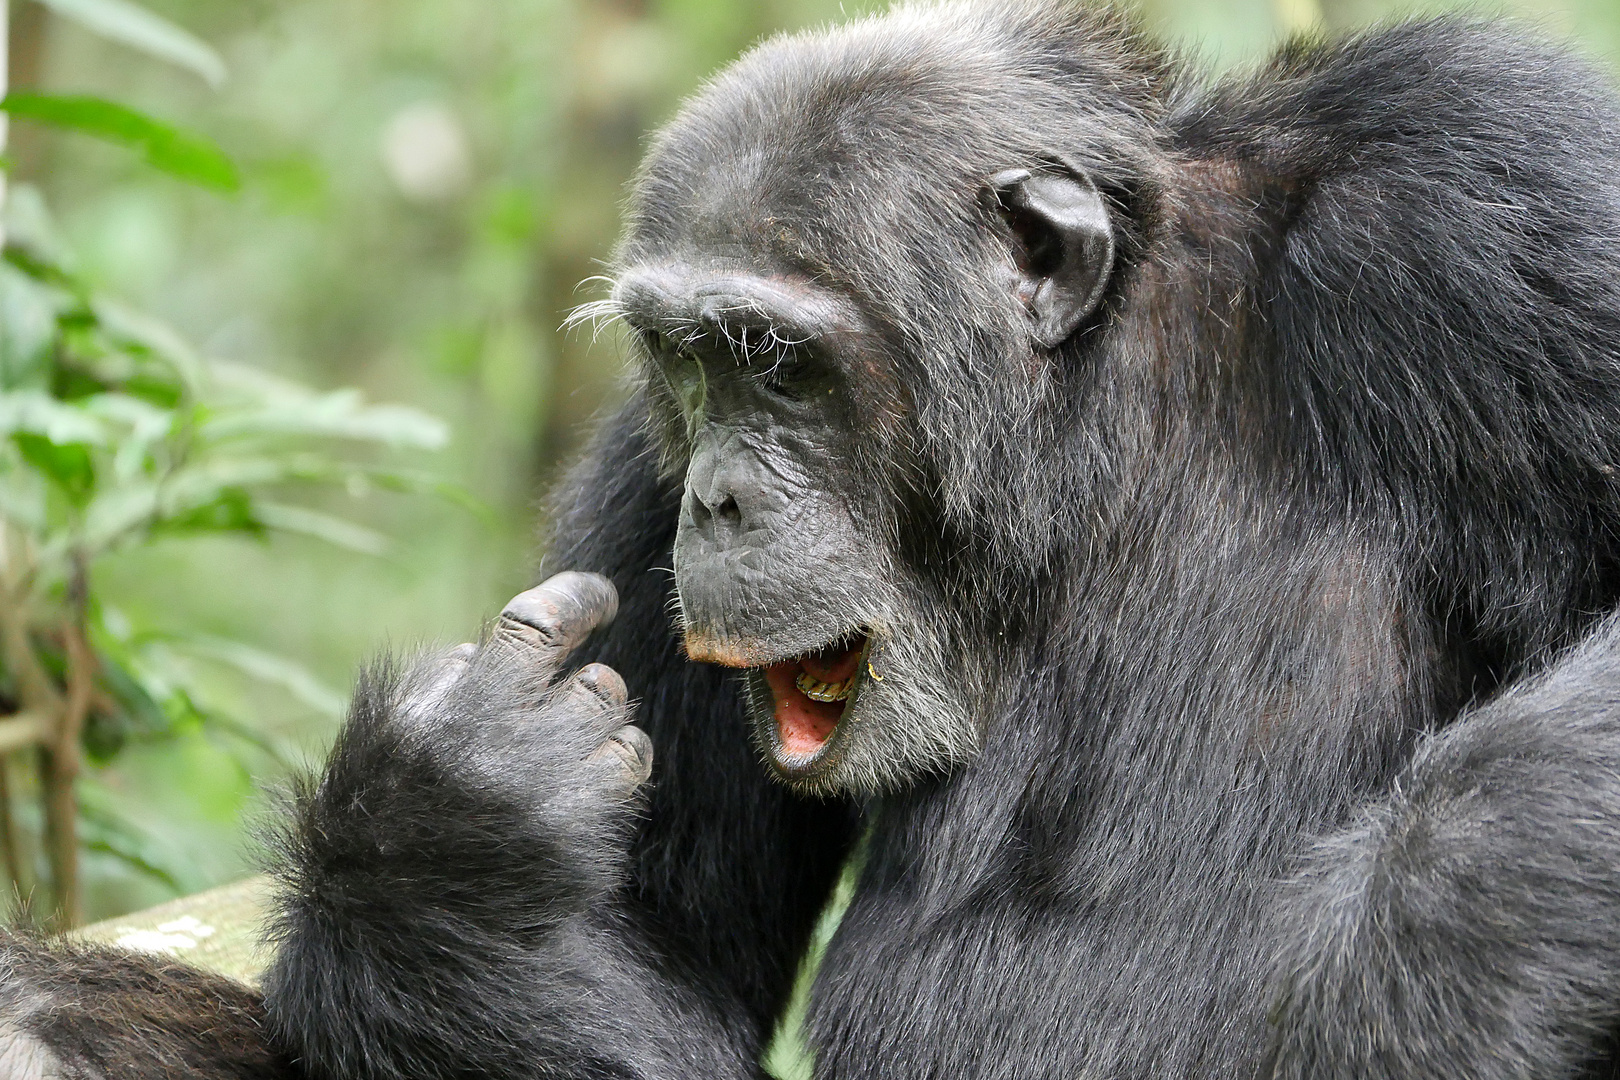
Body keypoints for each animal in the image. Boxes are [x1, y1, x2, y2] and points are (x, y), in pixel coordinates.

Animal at [9, 2, 1620, 1080]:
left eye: (778, 360)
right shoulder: (631, 487)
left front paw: (1441, 929)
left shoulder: (1482, 190)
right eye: (690, 363)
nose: (720, 496)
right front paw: (433, 835)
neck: (1087, 431)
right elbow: (688, 989)